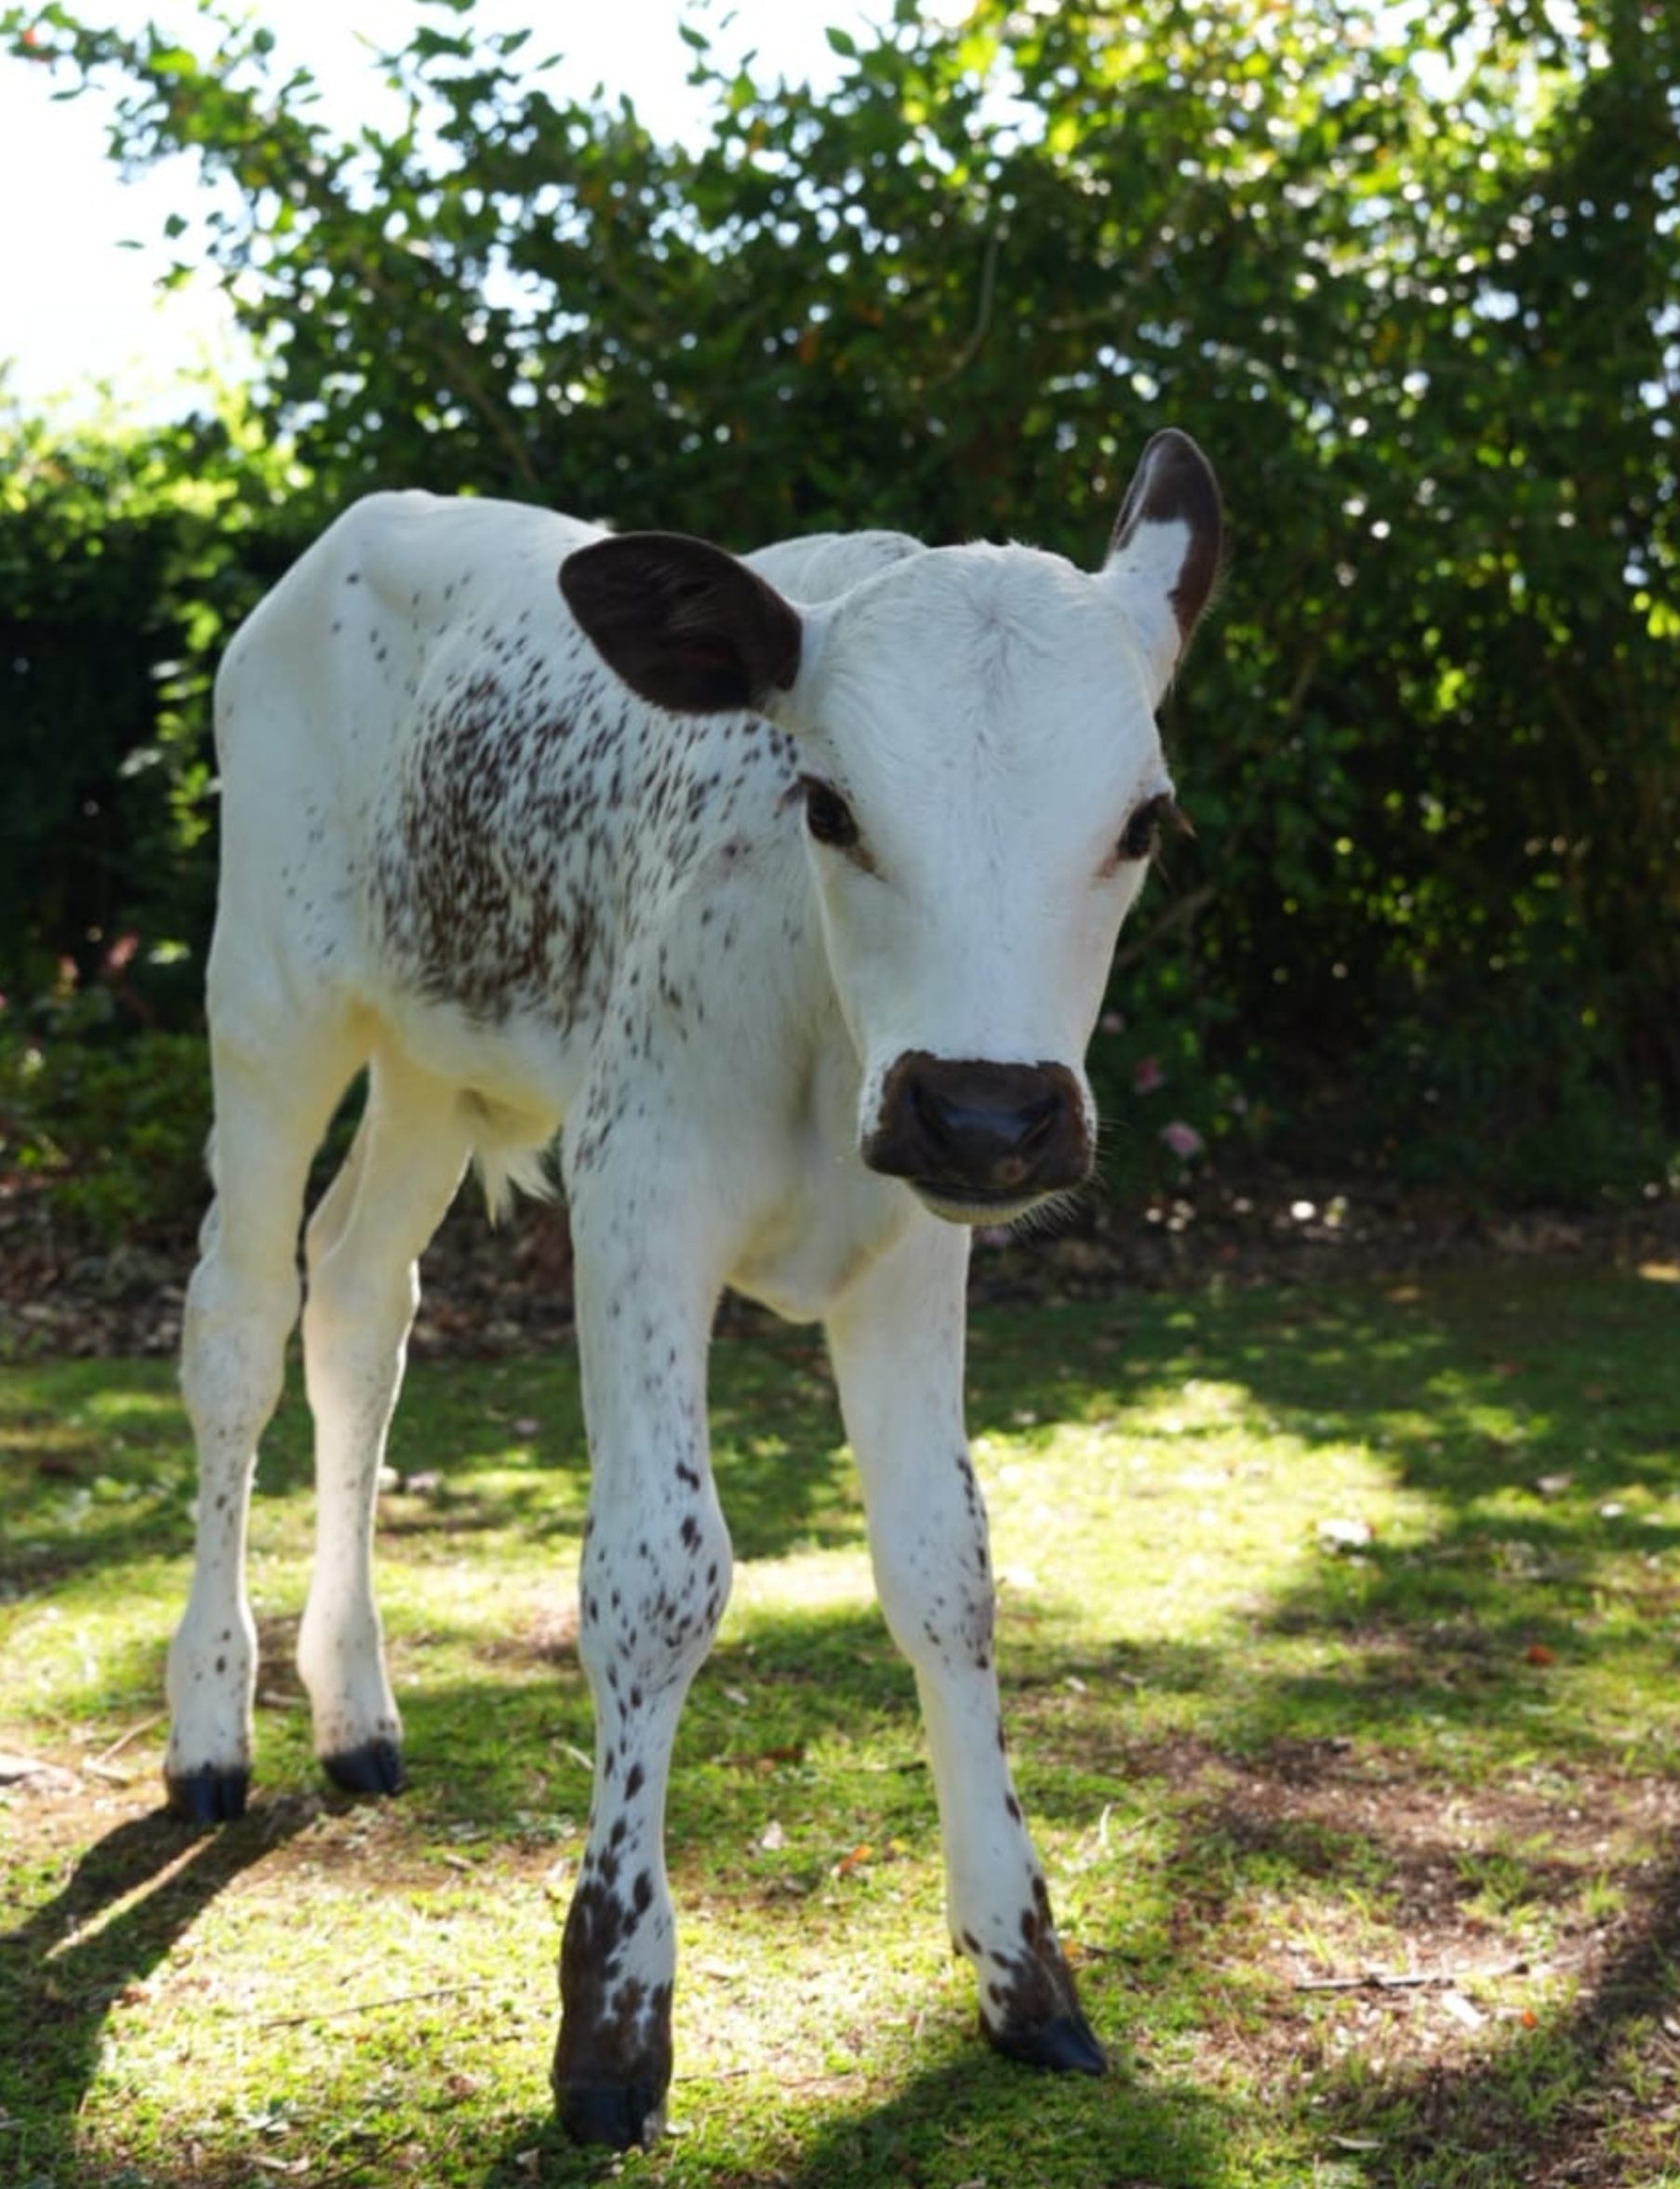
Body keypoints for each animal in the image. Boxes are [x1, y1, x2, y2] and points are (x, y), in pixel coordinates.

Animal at [161, 429, 1222, 2148]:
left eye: (1142, 822)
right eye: (830, 804)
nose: (985, 1112)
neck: (816, 1011)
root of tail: (361, 528)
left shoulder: (916, 1250)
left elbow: (945, 1565)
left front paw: (1025, 1969)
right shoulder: (636, 1200)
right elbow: (657, 1577)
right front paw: (610, 2022)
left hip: (436, 1067)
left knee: (360, 1303)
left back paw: (354, 1706)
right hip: (270, 1005)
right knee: (240, 1330)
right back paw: (209, 1725)